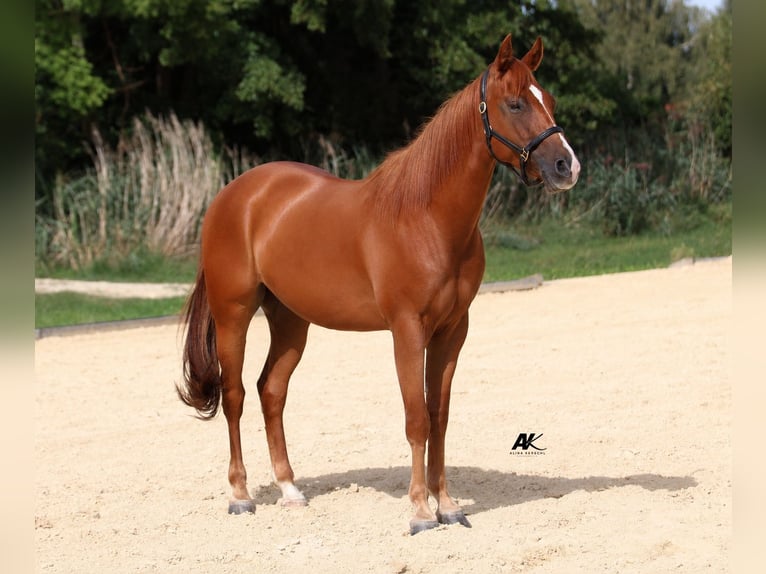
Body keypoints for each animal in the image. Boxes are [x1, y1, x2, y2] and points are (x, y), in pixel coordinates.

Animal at [177, 34, 580, 535]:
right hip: (234, 313)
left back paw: (290, 490)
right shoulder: (407, 330)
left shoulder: (452, 331)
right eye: (516, 103)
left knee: (271, 391)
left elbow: (439, 415)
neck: (427, 217)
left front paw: (449, 505)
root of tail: (231, 197)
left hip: (290, 321)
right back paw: (240, 495)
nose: (567, 166)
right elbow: (416, 419)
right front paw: (421, 511)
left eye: (551, 100)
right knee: (234, 396)